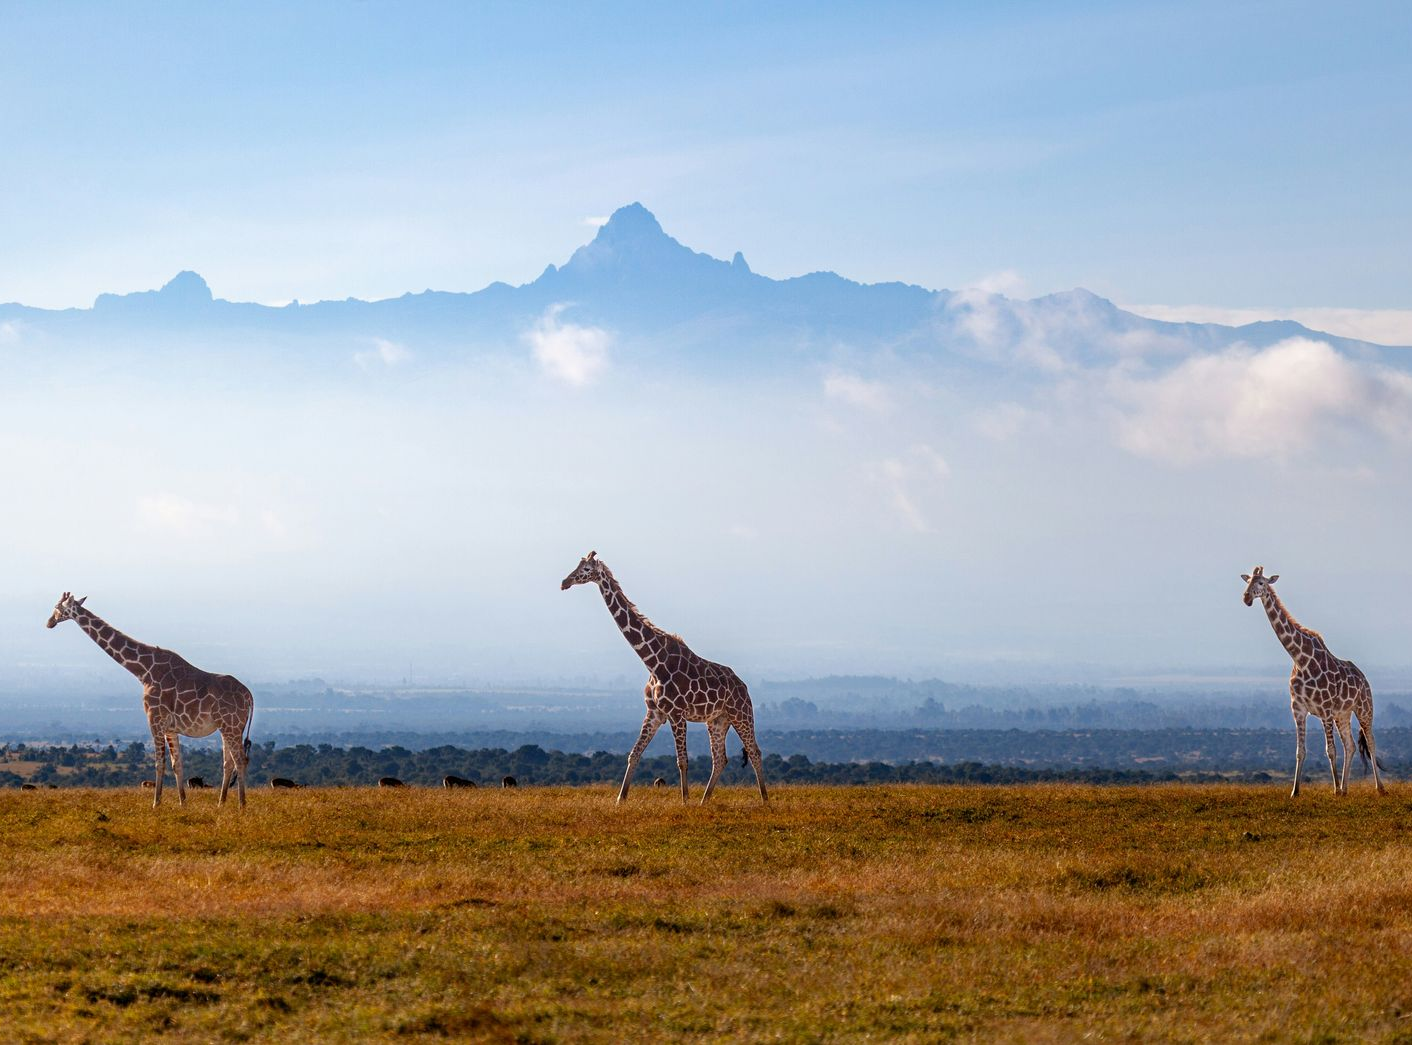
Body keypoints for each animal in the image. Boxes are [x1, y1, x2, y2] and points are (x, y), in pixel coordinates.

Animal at [46, 593, 254, 807]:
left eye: (58, 607)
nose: (49, 622)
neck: (144, 671)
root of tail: (249, 697)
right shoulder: (171, 727)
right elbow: (176, 764)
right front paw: (183, 803)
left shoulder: (154, 719)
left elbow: (159, 762)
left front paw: (156, 803)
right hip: (226, 727)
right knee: (228, 762)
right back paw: (221, 804)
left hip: (231, 725)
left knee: (240, 760)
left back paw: (242, 805)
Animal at [561, 551, 768, 805]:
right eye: (578, 564)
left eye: (586, 569)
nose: (565, 582)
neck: (652, 661)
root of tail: (744, 686)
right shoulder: (654, 713)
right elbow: (634, 753)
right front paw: (620, 799)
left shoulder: (676, 713)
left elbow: (682, 760)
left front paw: (685, 801)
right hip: (717, 720)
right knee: (720, 759)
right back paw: (704, 801)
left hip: (741, 714)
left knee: (755, 751)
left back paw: (765, 800)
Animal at [1241, 567, 1384, 797]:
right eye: (1247, 582)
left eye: (1261, 582)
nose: (1246, 598)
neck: (1300, 658)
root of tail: (1363, 677)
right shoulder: (1298, 709)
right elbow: (1300, 751)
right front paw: (1295, 791)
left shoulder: (1324, 710)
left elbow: (1330, 751)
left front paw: (1334, 790)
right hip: (1342, 714)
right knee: (1351, 745)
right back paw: (1345, 788)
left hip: (1364, 707)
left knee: (1370, 742)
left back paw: (1379, 788)